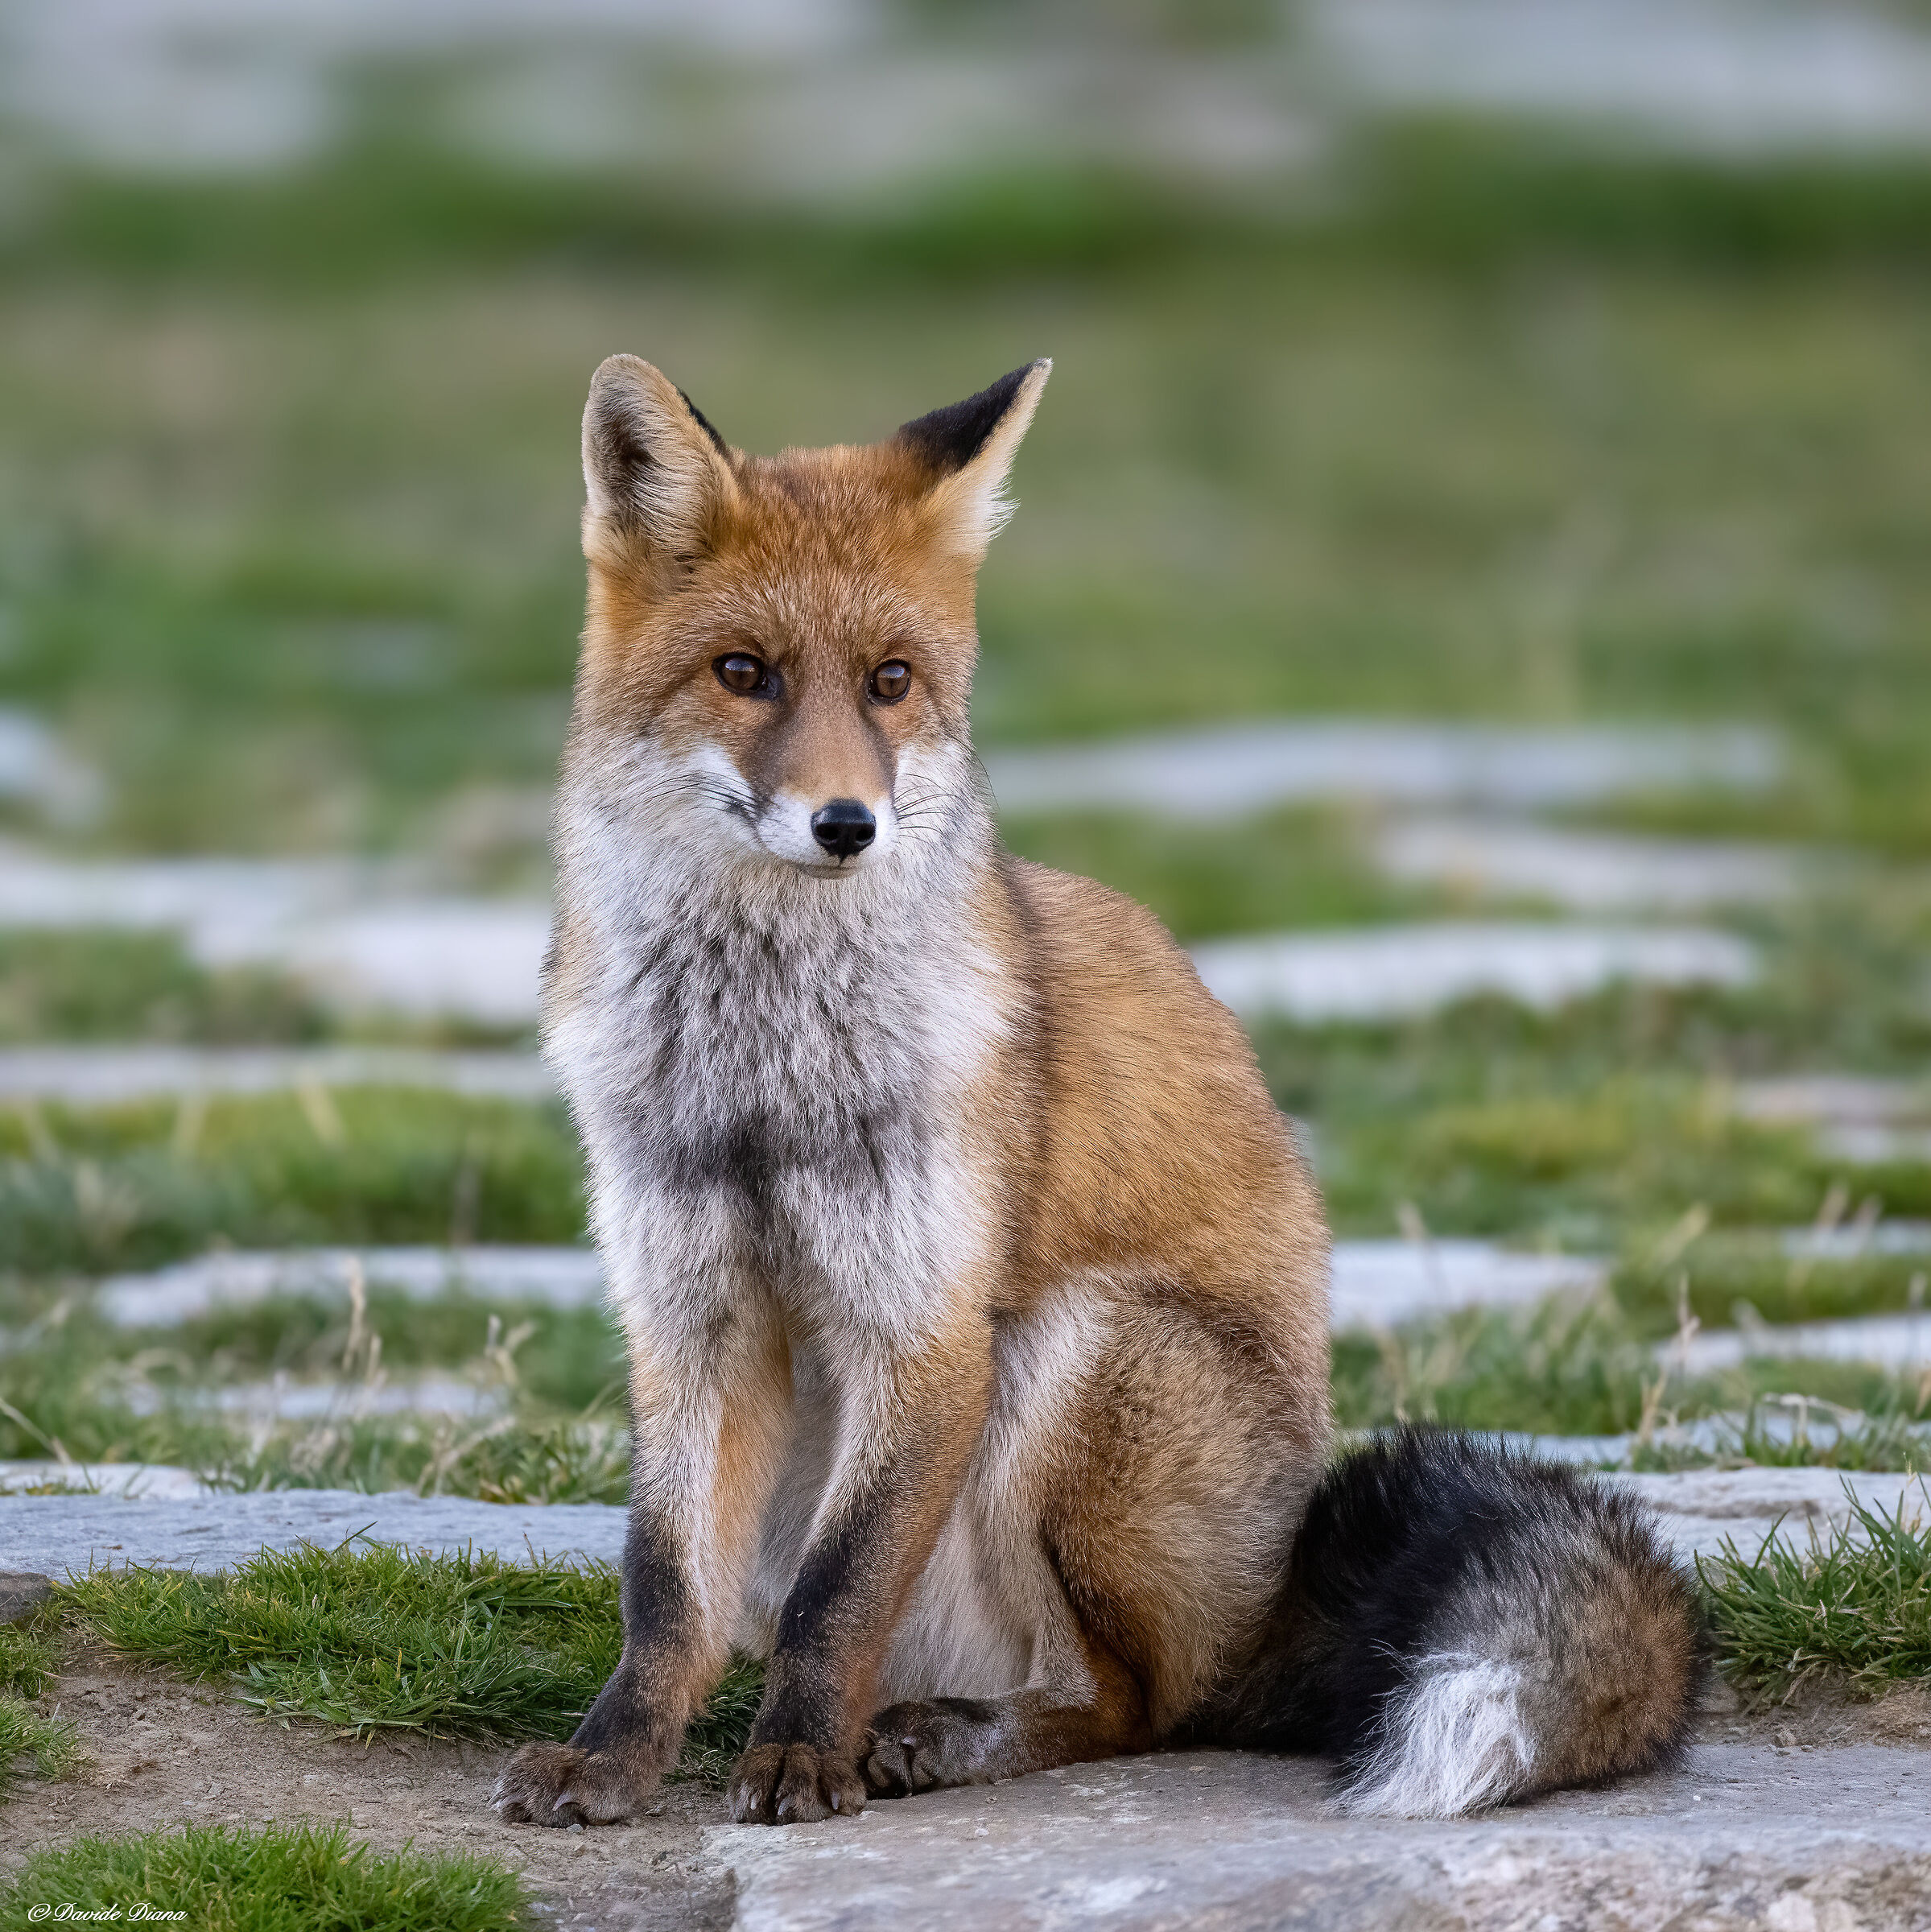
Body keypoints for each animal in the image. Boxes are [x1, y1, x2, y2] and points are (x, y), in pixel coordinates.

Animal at [493, 356, 1703, 1832]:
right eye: (742, 674)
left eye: (890, 682)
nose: (846, 824)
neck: (762, 1081)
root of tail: (1273, 1607)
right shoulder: (690, 1315)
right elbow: (665, 1589)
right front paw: (615, 1758)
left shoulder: (925, 1328)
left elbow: (837, 1597)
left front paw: (796, 1759)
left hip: (1078, 1357)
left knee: (1139, 1705)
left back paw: (940, 1738)